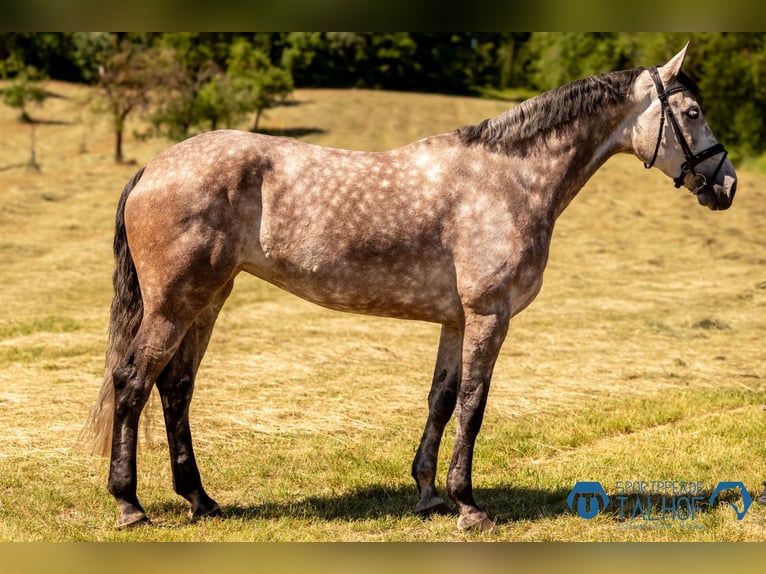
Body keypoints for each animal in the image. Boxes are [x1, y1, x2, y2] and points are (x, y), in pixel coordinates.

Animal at [81, 44, 737, 531]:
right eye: (693, 113)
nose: (726, 184)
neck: (509, 179)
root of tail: (154, 167)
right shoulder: (489, 314)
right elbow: (474, 403)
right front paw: (468, 505)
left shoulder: (455, 319)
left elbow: (441, 400)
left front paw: (428, 494)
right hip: (174, 304)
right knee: (133, 383)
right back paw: (130, 505)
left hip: (207, 301)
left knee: (176, 389)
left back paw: (201, 500)